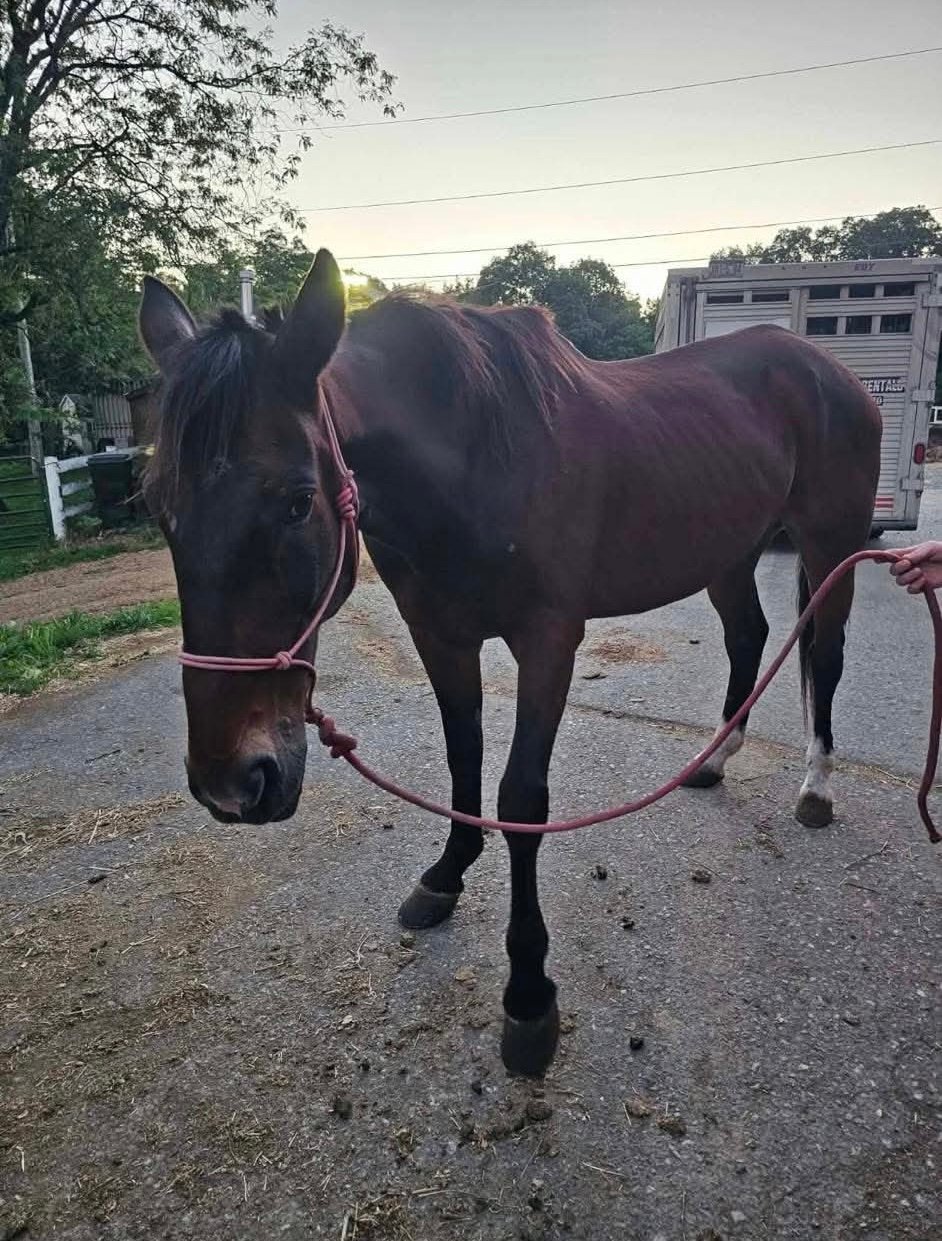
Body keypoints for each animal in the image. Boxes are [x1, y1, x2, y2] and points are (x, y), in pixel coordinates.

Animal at [138, 249, 881, 1077]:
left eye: (298, 501)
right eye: (160, 510)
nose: (233, 782)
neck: (475, 454)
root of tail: (828, 370)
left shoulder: (548, 640)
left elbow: (521, 799)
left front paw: (529, 992)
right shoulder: (440, 635)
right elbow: (463, 757)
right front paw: (446, 872)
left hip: (831, 543)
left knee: (826, 654)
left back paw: (815, 786)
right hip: (731, 550)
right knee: (748, 636)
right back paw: (715, 760)